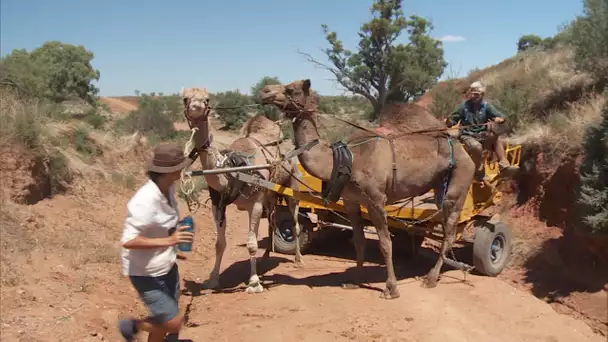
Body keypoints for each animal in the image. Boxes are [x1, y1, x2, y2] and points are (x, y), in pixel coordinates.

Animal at [178, 87, 306, 296]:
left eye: (207, 99)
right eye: (185, 98)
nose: (196, 107)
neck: (232, 170)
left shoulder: (254, 204)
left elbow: (251, 244)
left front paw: (254, 283)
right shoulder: (218, 204)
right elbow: (219, 244)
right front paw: (212, 280)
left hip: (291, 186)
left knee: (294, 223)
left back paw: (298, 259)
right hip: (269, 195)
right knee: (272, 220)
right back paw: (266, 257)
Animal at [258, 79, 478, 298]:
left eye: (291, 89)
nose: (264, 91)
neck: (345, 160)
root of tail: (463, 149)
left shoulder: (376, 200)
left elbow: (385, 243)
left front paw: (391, 288)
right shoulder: (351, 201)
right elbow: (359, 240)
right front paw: (354, 280)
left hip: (460, 178)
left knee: (449, 232)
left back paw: (431, 278)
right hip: (441, 184)